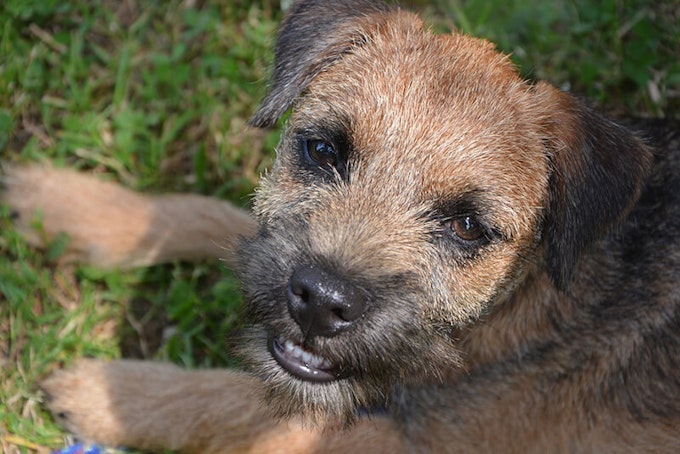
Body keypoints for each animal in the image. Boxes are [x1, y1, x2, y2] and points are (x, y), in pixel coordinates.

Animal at [3, 0, 680, 452]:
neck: (525, 306)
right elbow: (215, 213)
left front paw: (111, 392)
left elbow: (248, 407)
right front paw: (73, 205)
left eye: (468, 226)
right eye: (324, 150)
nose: (322, 301)